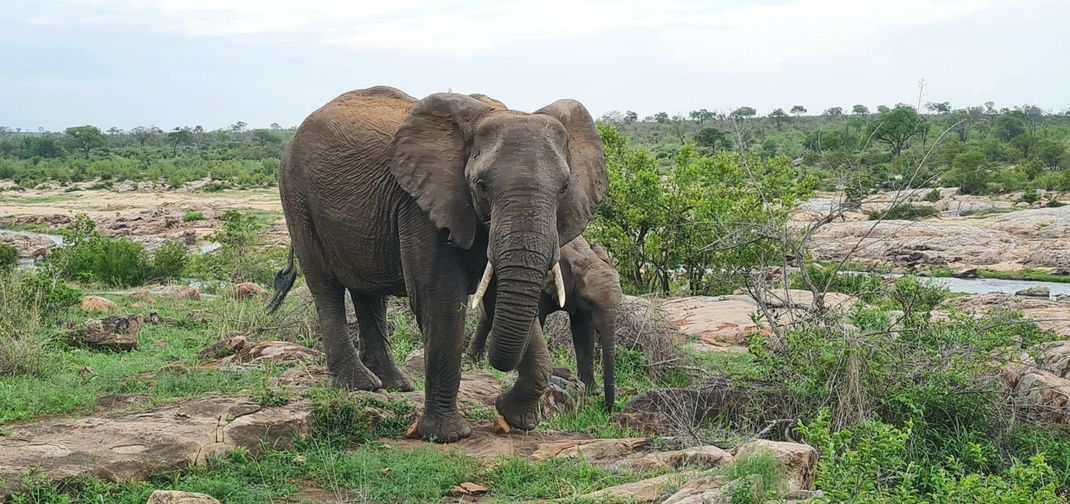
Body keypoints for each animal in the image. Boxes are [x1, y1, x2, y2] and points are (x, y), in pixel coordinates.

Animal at [467, 235, 622, 411]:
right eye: (590, 301)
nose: (607, 408)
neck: (584, 255)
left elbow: (583, 331)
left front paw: (592, 391)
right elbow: (537, 319)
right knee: (486, 318)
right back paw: (471, 363)